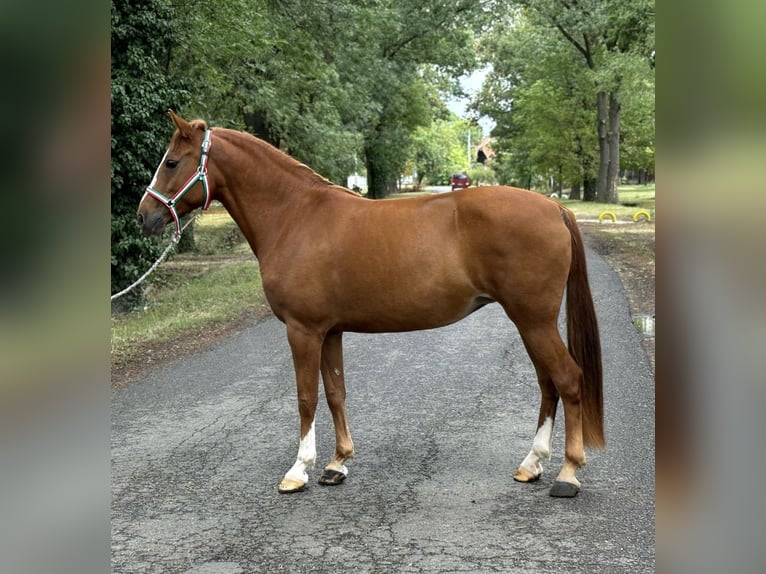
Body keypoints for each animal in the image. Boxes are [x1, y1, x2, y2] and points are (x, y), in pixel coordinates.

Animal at [138, 110, 608, 498]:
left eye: (172, 162)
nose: (144, 216)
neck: (295, 216)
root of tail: (553, 207)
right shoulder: (330, 331)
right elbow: (335, 393)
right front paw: (336, 464)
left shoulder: (303, 330)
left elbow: (306, 396)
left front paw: (299, 470)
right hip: (529, 322)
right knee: (548, 384)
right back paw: (532, 465)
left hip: (533, 320)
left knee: (567, 379)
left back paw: (568, 474)